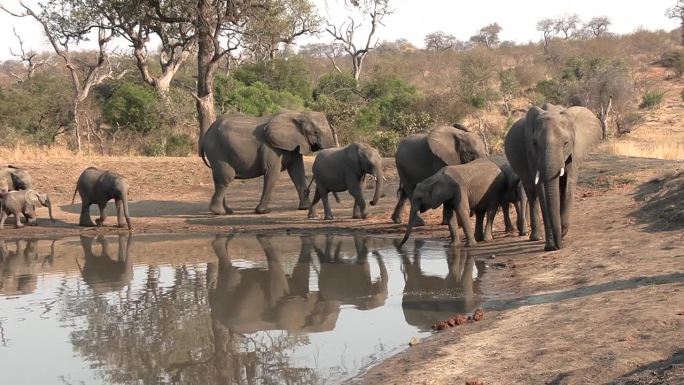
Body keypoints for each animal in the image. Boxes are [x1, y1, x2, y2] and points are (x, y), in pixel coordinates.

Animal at [198, 110, 336, 216]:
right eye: (316, 132)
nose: (308, 191)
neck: (299, 114)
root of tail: (204, 138)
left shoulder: (294, 146)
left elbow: (297, 172)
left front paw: (304, 208)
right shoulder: (271, 147)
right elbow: (272, 172)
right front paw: (264, 211)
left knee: (221, 178)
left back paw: (228, 211)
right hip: (218, 151)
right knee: (225, 177)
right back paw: (219, 212)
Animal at [504, 103, 600, 250]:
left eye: (566, 143)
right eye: (535, 143)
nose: (560, 245)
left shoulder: (574, 151)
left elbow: (567, 187)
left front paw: (562, 234)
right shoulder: (531, 154)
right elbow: (542, 191)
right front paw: (551, 246)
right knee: (531, 193)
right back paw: (536, 238)